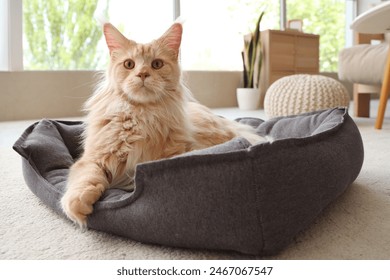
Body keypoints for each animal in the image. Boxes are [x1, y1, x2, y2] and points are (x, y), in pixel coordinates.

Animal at [61, 21, 268, 228]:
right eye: (129, 64)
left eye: (157, 64)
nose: (143, 74)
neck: (142, 115)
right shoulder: (92, 159)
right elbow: (85, 177)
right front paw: (79, 204)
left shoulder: (174, 153)